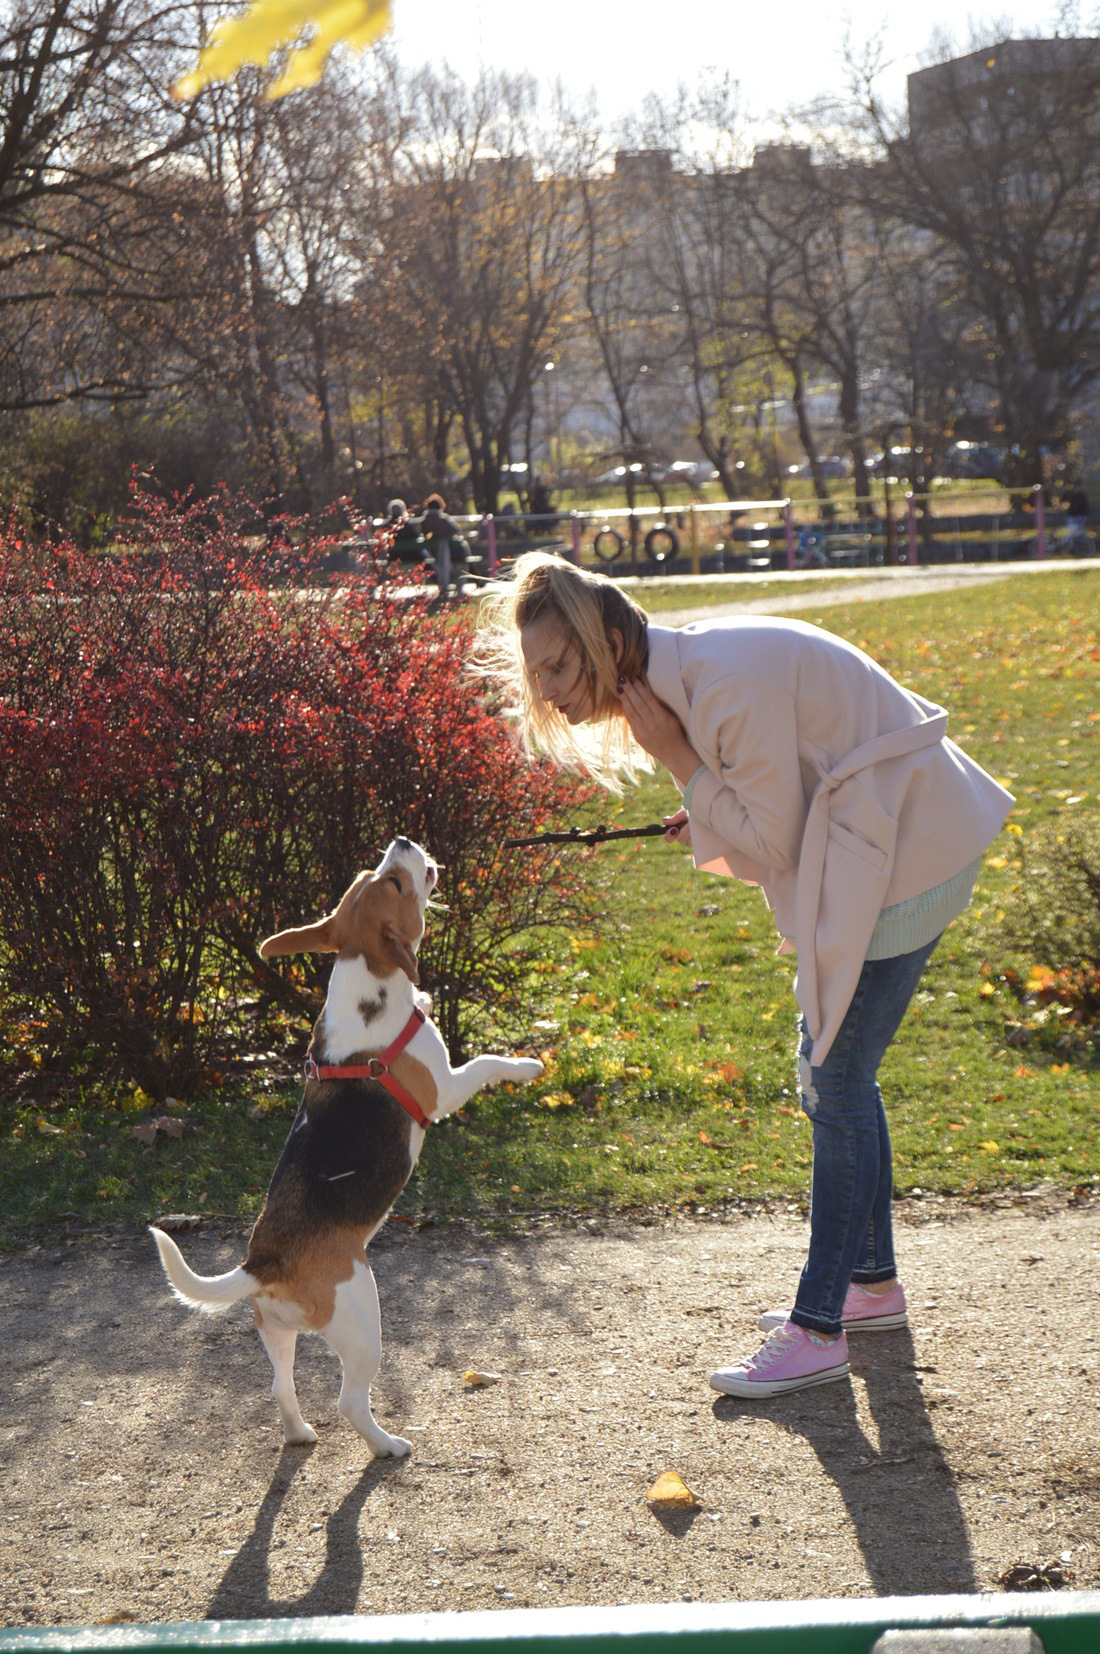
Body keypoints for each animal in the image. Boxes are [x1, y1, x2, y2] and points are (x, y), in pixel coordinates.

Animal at [148, 840, 542, 1462]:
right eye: (397, 885)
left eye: (367, 874)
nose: (401, 844)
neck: (368, 978)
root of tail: (264, 1262)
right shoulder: (443, 1087)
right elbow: (485, 1063)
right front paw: (527, 1064)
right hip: (364, 1323)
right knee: (350, 1401)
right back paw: (388, 1446)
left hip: (275, 1332)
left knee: (281, 1388)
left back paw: (298, 1433)